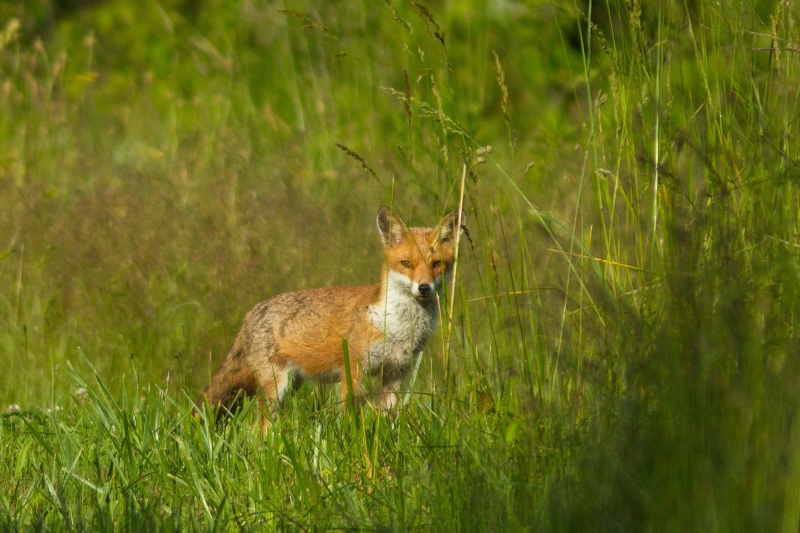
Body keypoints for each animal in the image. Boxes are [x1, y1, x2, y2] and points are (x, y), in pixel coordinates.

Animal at [196, 206, 466, 430]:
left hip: (292, 385)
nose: (424, 288)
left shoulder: (396, 374)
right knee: (257, 430)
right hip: (276, 388)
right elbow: (348, 417)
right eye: (406, 263)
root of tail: (252, 313)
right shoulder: (352, 370)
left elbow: (386, 419)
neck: (397, 326)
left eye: (437, 264)